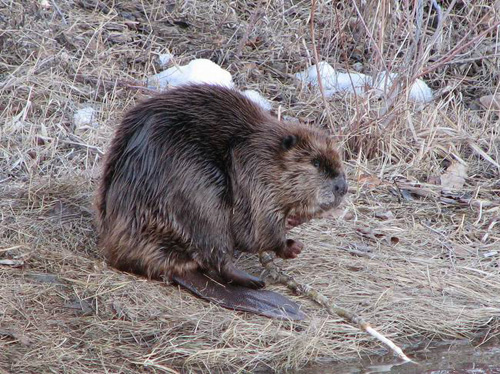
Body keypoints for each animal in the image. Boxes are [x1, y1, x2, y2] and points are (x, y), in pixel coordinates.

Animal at [96, 84, 348, 318]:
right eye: (316, 163)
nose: (342, 187)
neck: (261, 146)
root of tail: (171, 266)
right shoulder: (255, 177)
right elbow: (258, 230)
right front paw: (292, 246)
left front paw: (295, 220)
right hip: (204, 194)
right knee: (217, 253)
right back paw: (255, 282)